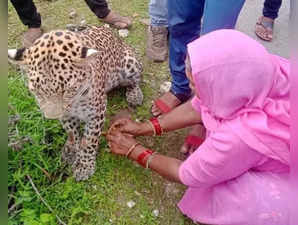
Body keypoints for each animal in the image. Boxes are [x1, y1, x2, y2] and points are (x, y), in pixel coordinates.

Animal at [8, 25, 144, 182]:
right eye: (37, 91)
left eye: (68, 90)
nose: (52, 117)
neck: (75, 100)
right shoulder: (67, 114)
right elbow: (72, 133)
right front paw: (72, 150)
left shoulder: (96, 112)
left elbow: (89, 141)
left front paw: (84, 166)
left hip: (130, 64)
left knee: (135, 80)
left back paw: (135, 95)